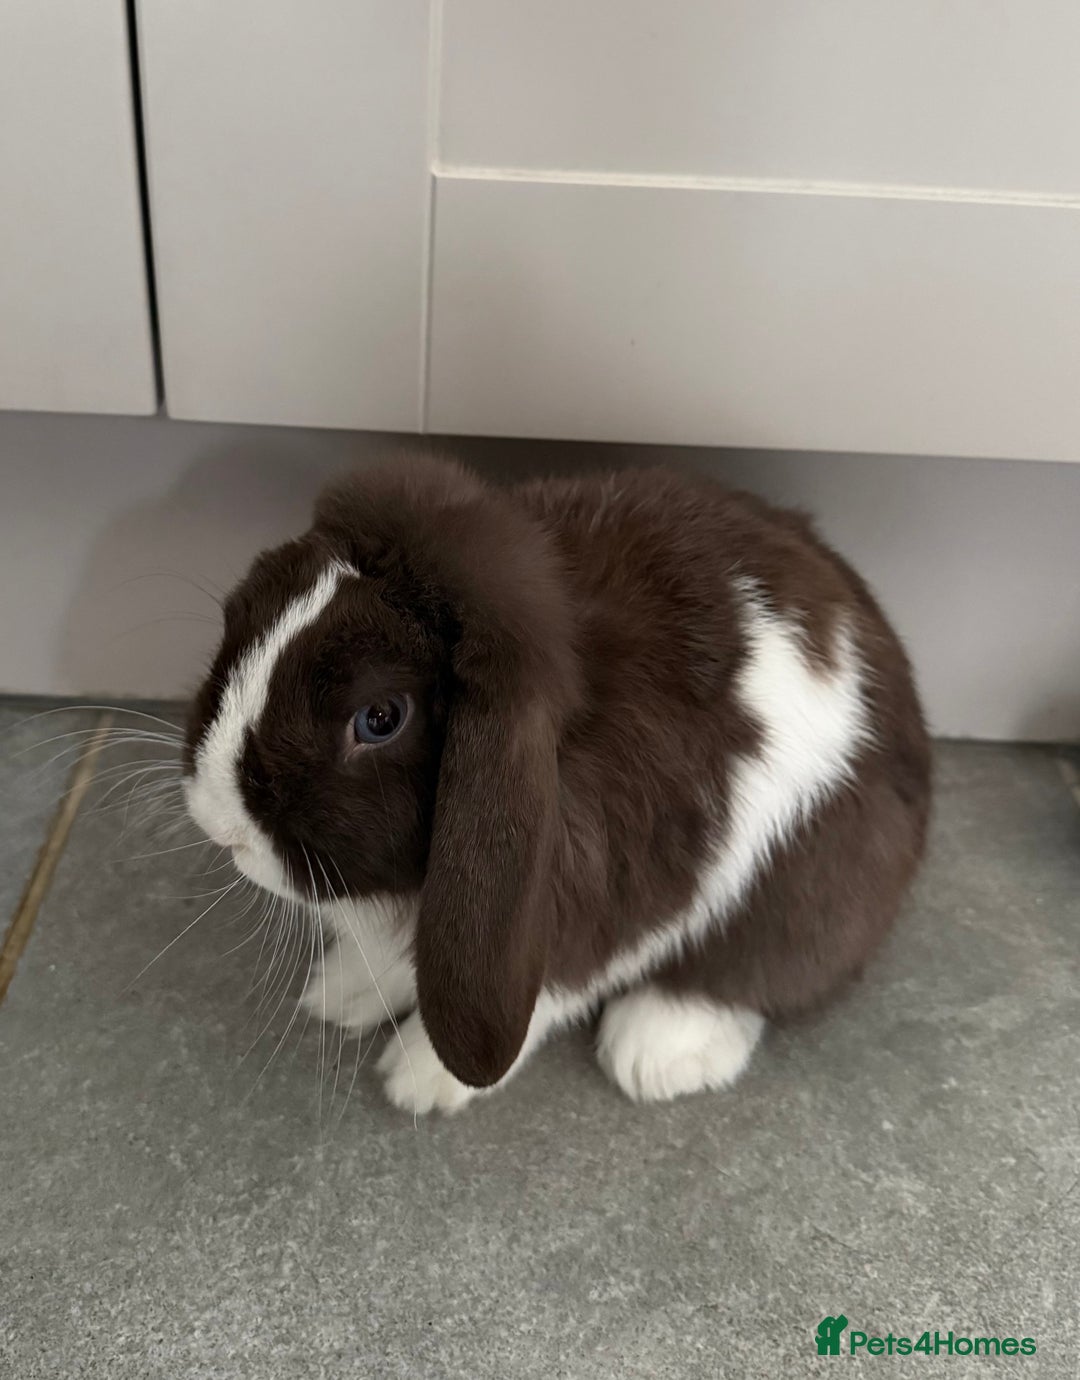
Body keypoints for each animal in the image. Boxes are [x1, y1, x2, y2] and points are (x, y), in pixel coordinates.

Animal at [183, 454, 931, 1115]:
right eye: (238, 613)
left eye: (380, 718)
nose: (217, 821)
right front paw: (341, 992)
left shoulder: (598, 903)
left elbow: (546, 991)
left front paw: (423, 1079)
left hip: (809, 878)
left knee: (754, 973)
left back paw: (657, 1051)